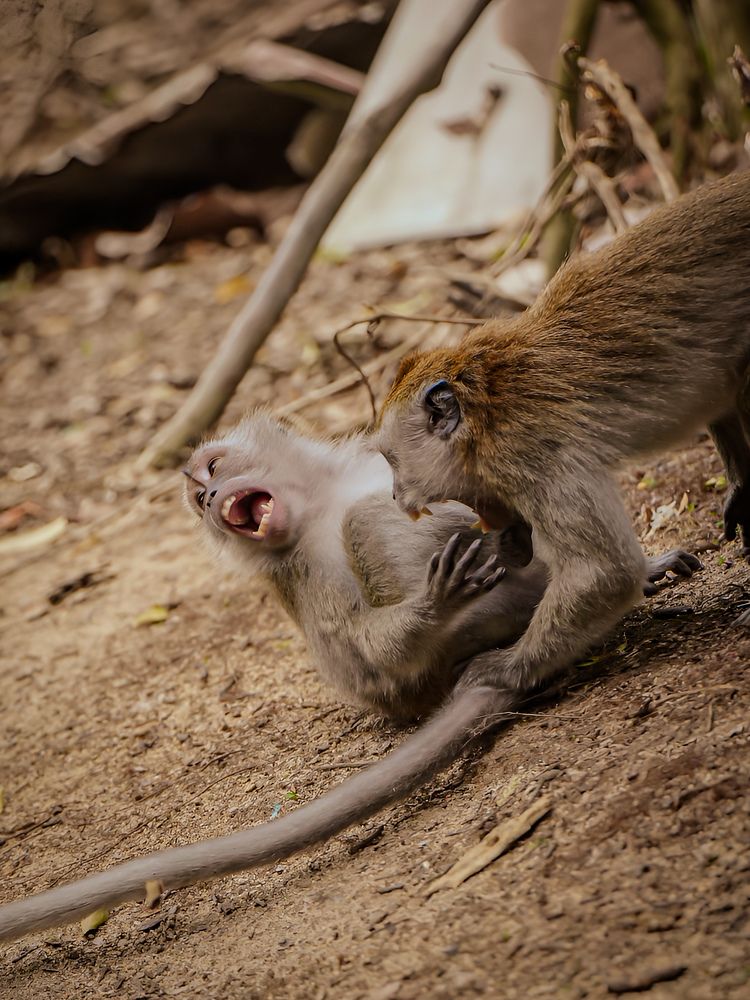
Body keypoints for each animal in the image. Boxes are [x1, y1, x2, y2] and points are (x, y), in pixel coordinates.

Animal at [0, 413, 700, 942]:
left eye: (211, 471)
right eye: (201, 497)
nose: (209, 498)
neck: (318, 498)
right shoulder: (298, 572)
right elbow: (367, 661)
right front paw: (430, 607)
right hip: (477, 635)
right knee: (368, 524)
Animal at [376, 168, 750, 699]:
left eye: (391, 461)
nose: (393, 494)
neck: (484, 413)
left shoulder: (529, 457)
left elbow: (602, 573)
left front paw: (504, 668)